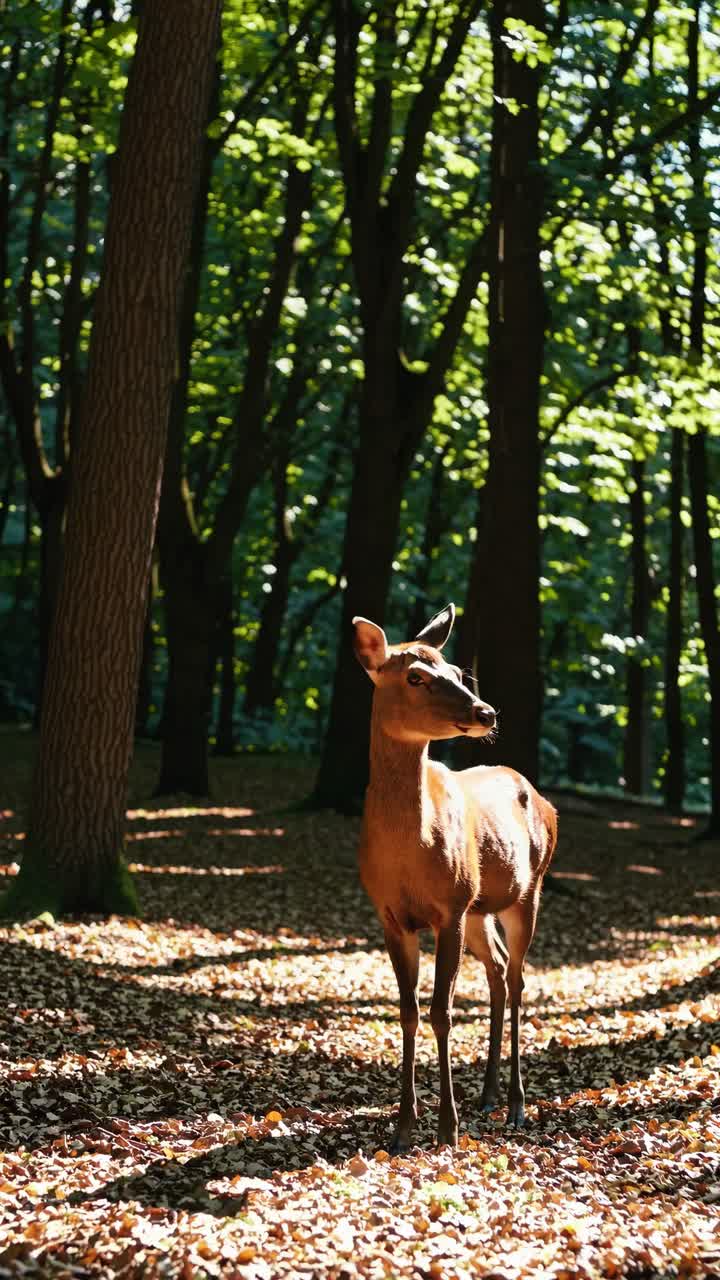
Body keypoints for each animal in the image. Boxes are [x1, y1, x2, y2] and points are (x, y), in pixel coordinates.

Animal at [353, 603, 557, 1150]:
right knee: (499, 969)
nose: (486, 712)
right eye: (415, 675)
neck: (409, 854)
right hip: (481, 910)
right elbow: (408, 1011)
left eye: (459, 673)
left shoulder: (450, 908)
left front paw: (447, 1127)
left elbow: (441, 1012)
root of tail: (545, 801)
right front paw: (403, 1126)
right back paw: (487, 1095)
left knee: (519, 977)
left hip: (525, 892)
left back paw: (515, 1105)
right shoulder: (390, 916)